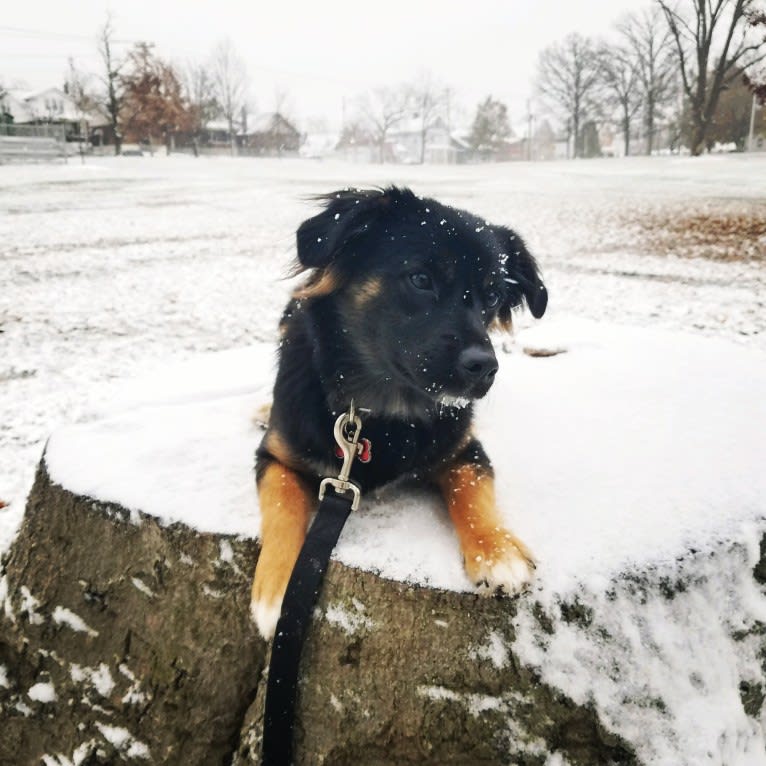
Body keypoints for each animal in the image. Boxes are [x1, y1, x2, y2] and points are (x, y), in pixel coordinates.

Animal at [252, 188, 544, 640]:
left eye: (494, 295)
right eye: (421, 279)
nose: (485, 367)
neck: (381, 408)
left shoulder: (464, 449)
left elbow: (472, 490)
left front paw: (497, 551)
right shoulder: (274, 456)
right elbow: (282, 505)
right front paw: (278, 590)